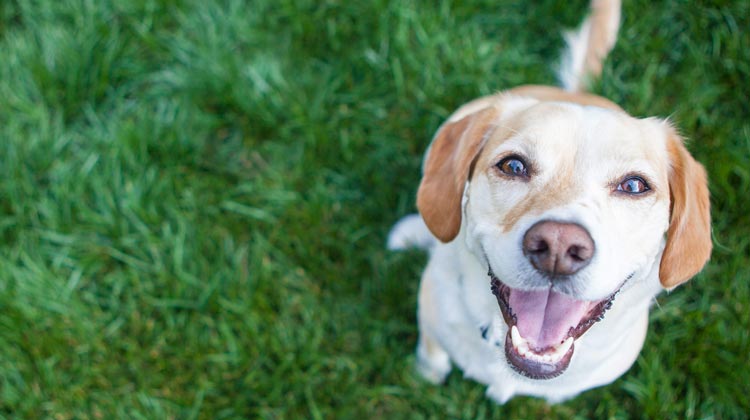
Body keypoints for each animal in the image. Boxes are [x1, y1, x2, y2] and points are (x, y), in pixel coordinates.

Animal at [390, 0, 712, 404]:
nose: (558, 246)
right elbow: (432, 354)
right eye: (513, 165)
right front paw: (426, 375)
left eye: (634, 185)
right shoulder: (433, 320)